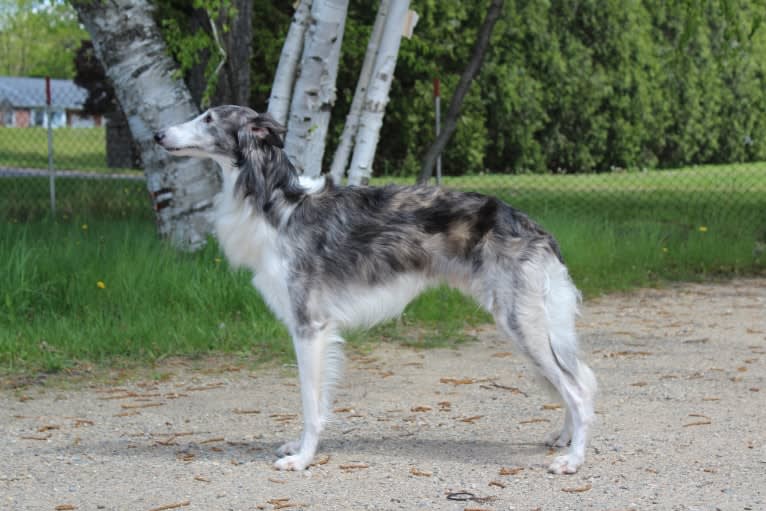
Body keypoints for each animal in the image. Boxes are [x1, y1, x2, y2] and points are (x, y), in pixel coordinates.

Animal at [154, 105, 600, 476]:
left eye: (209, 118)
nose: (158, 134)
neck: (279, 205)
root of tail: (533, 227)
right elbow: (317, 401)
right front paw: (297, 448)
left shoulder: (309, 327)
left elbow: (310, 403)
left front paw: (303, 459)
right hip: (533, 324)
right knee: (577, 379)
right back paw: (563, 438)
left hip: (521, 323)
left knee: (579, 391)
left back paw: (573, 460)